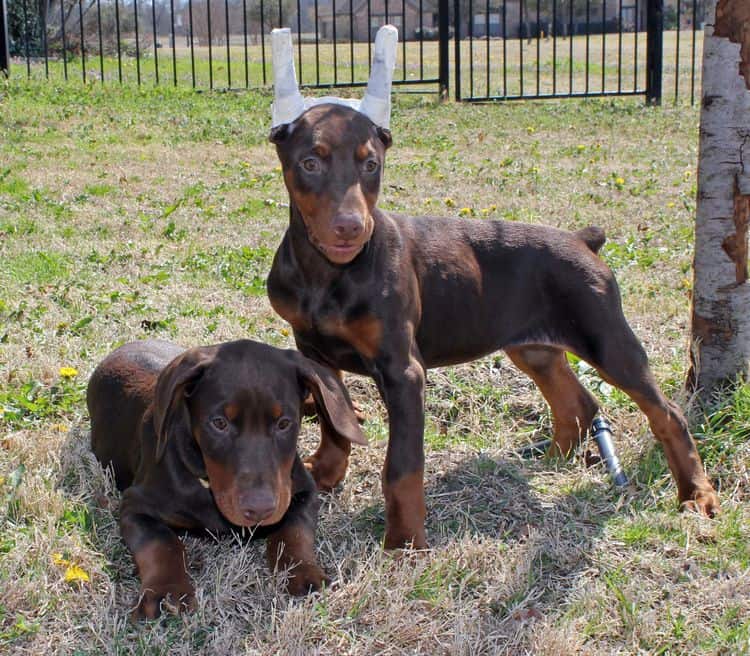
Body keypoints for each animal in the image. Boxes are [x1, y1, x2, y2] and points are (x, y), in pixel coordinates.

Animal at [88, 340, 368, 616]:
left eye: (284, 423)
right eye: (219, 423)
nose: (260, 510)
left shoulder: (302, 490)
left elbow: (295, 530)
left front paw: (304, 573)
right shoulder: (135, 505)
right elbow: (161, 543)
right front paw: (166, 590)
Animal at [268, 105, 724, 552]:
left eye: (371, 164)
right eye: (310, 163)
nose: (351, 227)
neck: (327, 273)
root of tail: (582, 240)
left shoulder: (403, 371)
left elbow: (402, 466)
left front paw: (405, 541)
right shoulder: (313, 351)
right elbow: (333, 421)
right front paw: (328, 473)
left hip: (607, 338)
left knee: (667, 414)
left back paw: (697, 494)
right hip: (534, 349)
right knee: (577, 403)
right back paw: (552, 459)